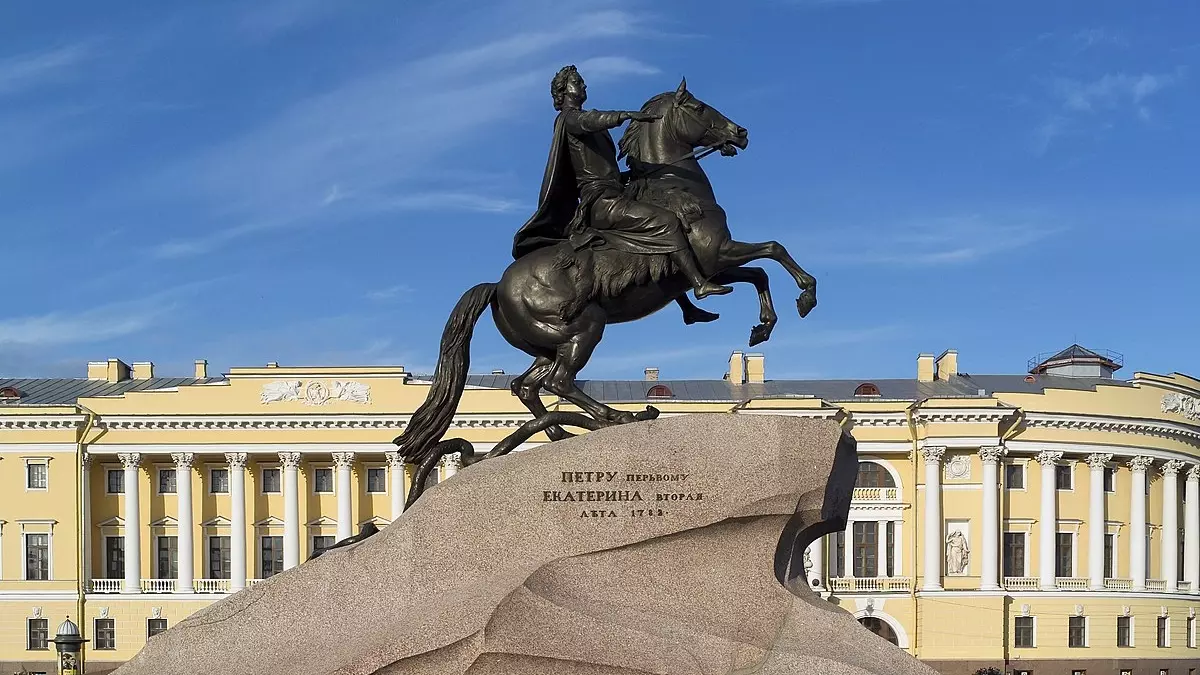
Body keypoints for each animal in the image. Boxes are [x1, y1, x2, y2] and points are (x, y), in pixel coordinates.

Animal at [398, 77, 820, 504]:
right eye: (699, 107)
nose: (740, 133)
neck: (675, 188)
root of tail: (498, 285)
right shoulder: (714, 255)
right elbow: (773, 251)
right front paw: (805, 295)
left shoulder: (713, 264)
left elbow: (759, 273)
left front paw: (762, 326)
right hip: (583, 329)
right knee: (557, 383)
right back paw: (615, 416)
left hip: (549, 343)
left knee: (526, 385)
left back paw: (560, 432)